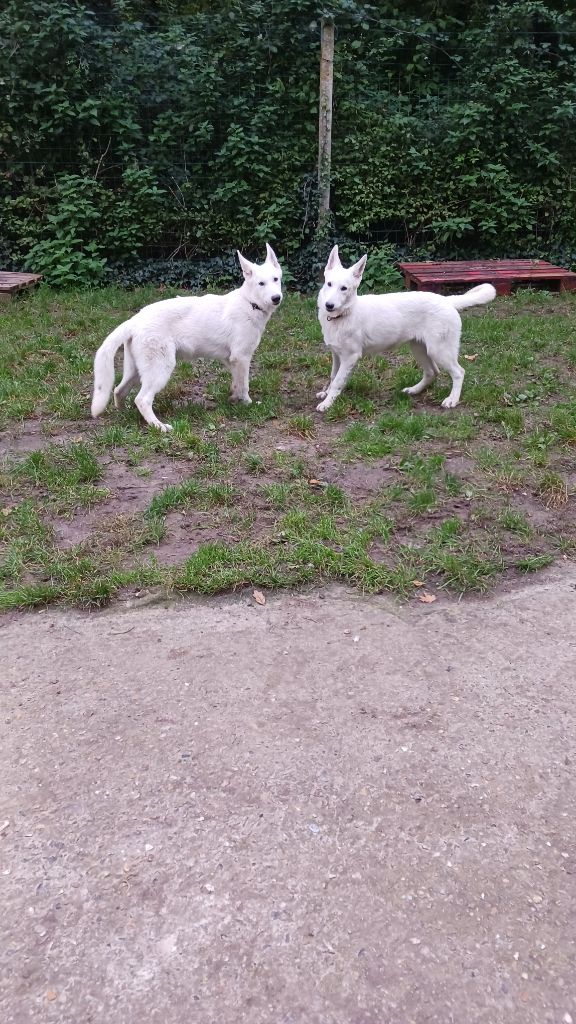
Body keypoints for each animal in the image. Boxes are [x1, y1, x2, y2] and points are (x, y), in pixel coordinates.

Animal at [89, 243, 282, 432]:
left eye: (275, 279)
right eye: (261, 283)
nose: (276, 298)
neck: (250, 303)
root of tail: (135, 320)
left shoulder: (231, 360)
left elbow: (236, 383)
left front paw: (234, 400)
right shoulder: (241, 357)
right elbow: (244, 385)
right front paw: (248, 404)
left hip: (135, 370)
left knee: (118, 391)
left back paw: (125, 416)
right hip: (161, 369)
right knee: (142, 399)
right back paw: (158, 426)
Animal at [313, 243, 494, 411]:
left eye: (344, 288)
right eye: (329, 284)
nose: (329, 305)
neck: (343, 315)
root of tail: (447, 300)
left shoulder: (350, 356)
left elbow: (337, 381)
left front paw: (328, 403)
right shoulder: (337, 355)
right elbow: (333, 376)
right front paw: (327, 394)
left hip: (439, 350)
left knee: (458, 372)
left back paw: (452, 399)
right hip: (419, 348)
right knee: (432, 372)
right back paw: (414, 390)